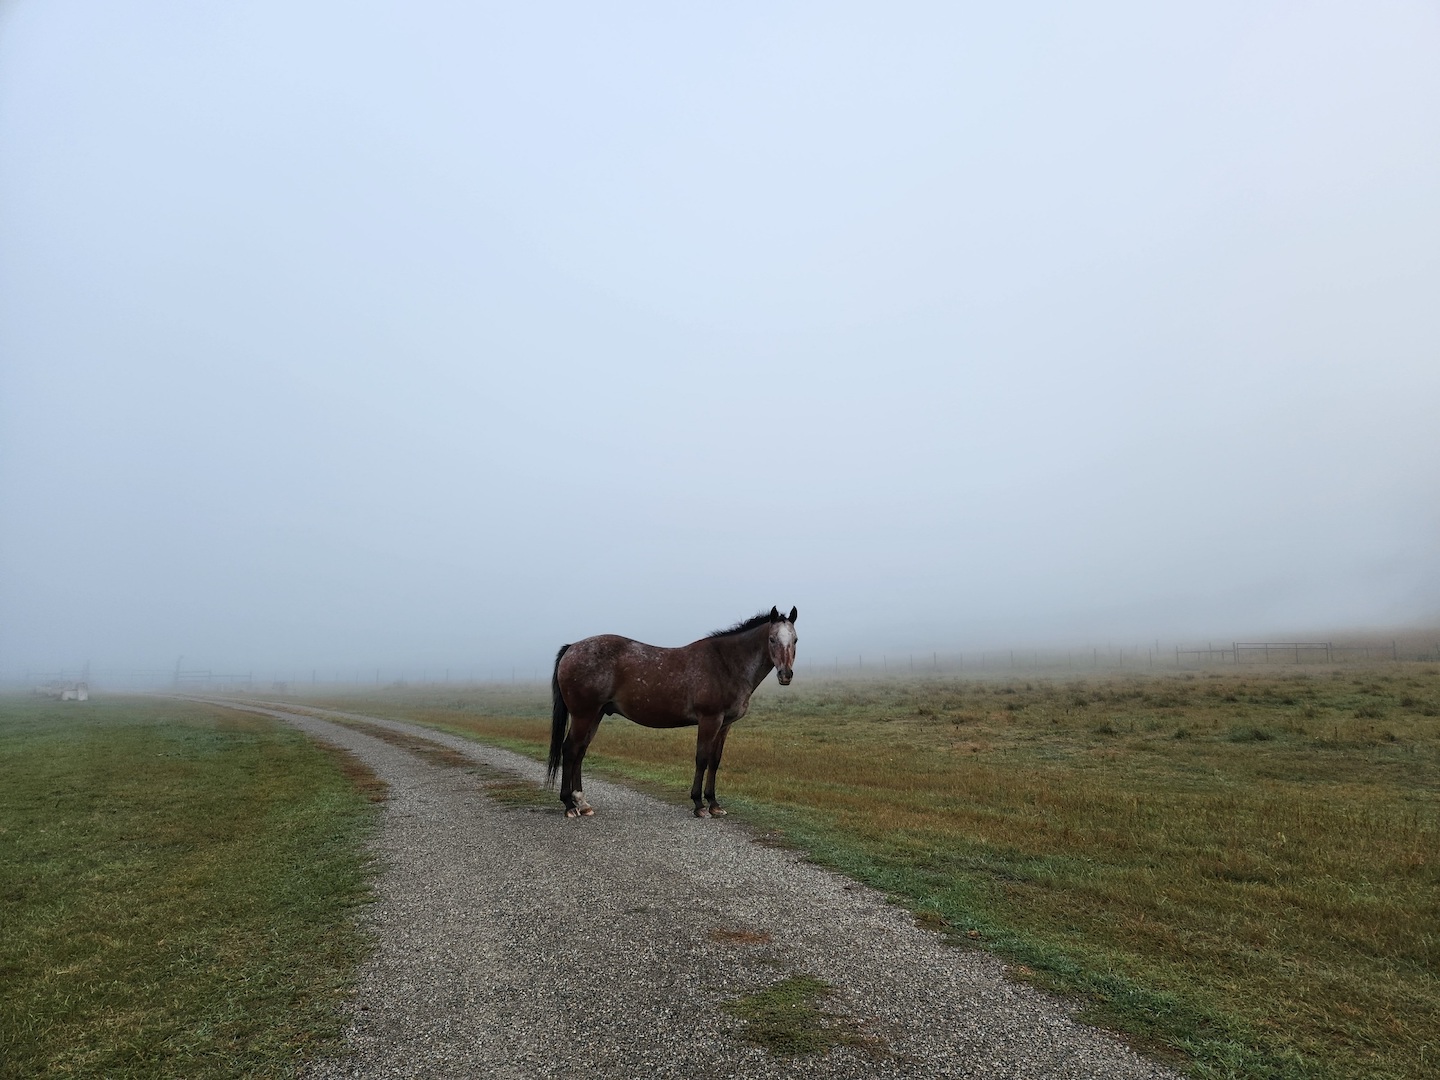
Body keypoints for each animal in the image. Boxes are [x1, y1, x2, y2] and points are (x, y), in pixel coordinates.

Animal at [550, 610, 800, 817]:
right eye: (772, 639)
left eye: (795, 639)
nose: (785, 675)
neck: (726, 663)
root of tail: (572, 647)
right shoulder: (709, 720)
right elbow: (702, 759)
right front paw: (699, 805)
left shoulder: (725, 724)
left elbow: (715, 761)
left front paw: (714, 804)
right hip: (584, 715)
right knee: (570, 750)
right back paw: (569, 805)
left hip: (596, 715)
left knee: (580, 752)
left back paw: (583, 803)